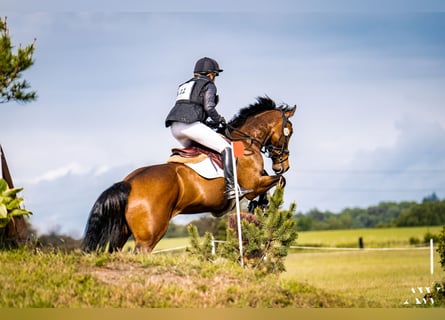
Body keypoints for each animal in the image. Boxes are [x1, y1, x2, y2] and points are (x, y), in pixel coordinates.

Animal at [80, 96, 294, 254]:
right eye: (289, 132)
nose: (283, 165)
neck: (246, 141)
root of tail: (128, 183)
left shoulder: (259, 181)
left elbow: (272, 182)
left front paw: (261, 205)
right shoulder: (253, 184)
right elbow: (279, 181)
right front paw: (264, 205)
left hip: (121, 232)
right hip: (149, 236)